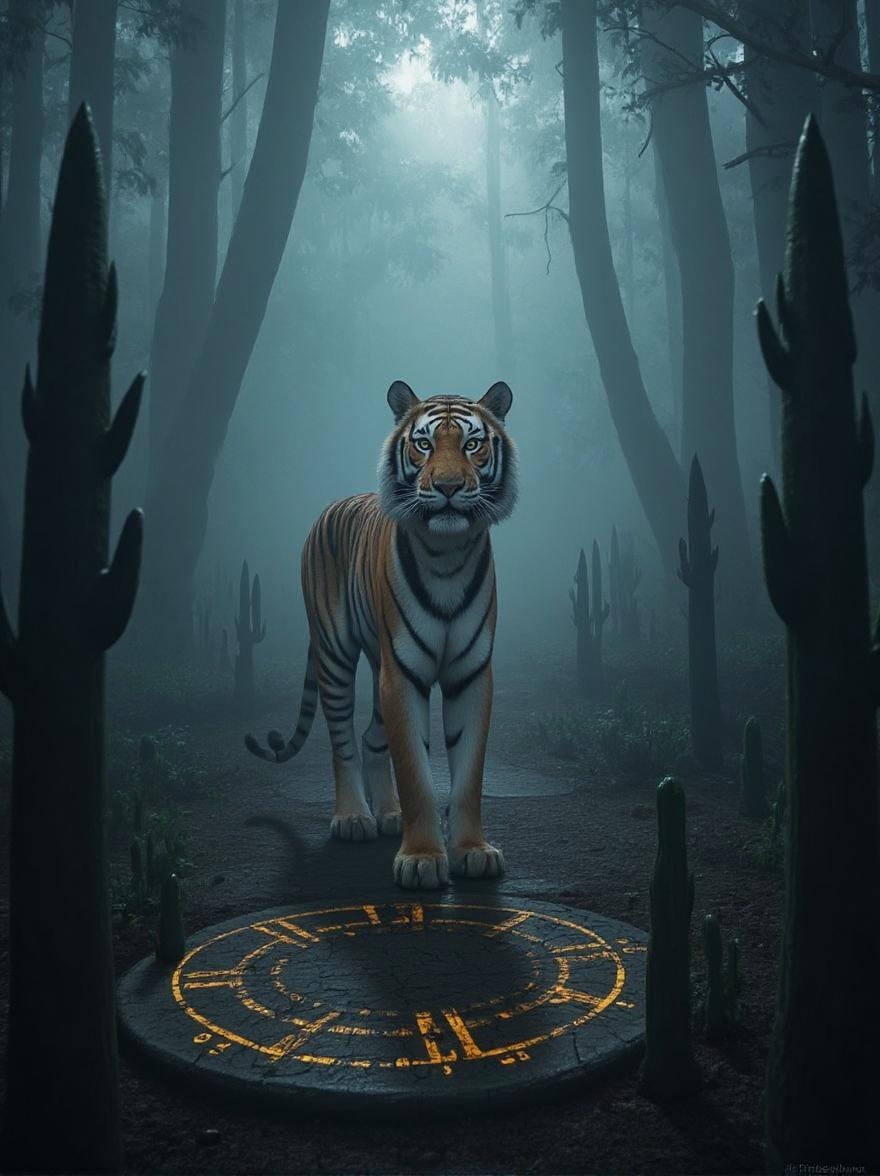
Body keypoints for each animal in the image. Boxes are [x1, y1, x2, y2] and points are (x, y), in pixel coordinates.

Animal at [245, 379, 517, 891]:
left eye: (472, 444)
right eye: (423, 444)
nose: (447, 487)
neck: (448, 553)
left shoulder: (471, 674)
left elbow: (469, 772)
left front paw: (473, 852)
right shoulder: (402, 676)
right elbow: (415, 770)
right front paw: (422, 860)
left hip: (377, 661)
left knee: (372, 738)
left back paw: (389, 814)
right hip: (335, 655)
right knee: (342, 741)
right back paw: (354, 818)